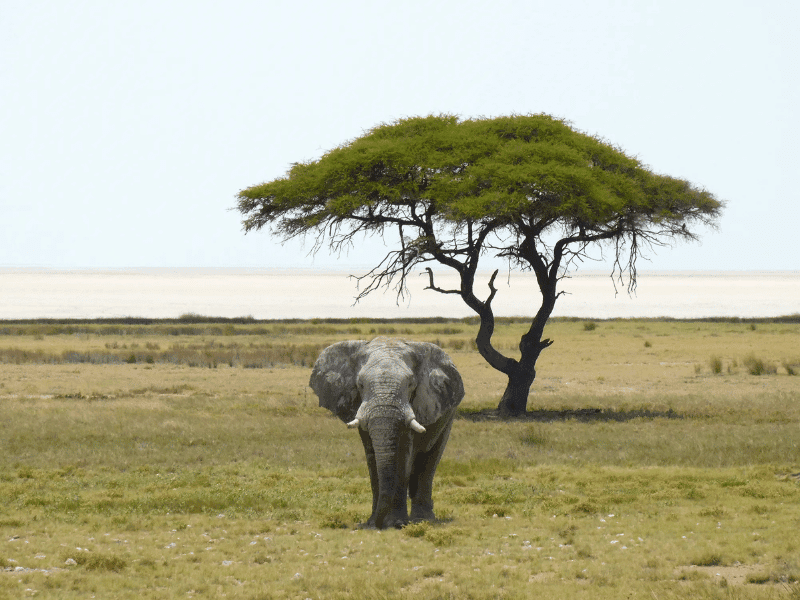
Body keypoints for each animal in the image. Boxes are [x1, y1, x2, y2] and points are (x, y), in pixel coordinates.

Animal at [310, 337, 464, 529]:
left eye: (411, 384)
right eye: (360, 384)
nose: (376, 524)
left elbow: (404, 455)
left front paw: (397, 523)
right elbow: (372, 457)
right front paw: (373, 523)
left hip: (449, 414)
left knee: (430, 459)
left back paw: (423, 520)